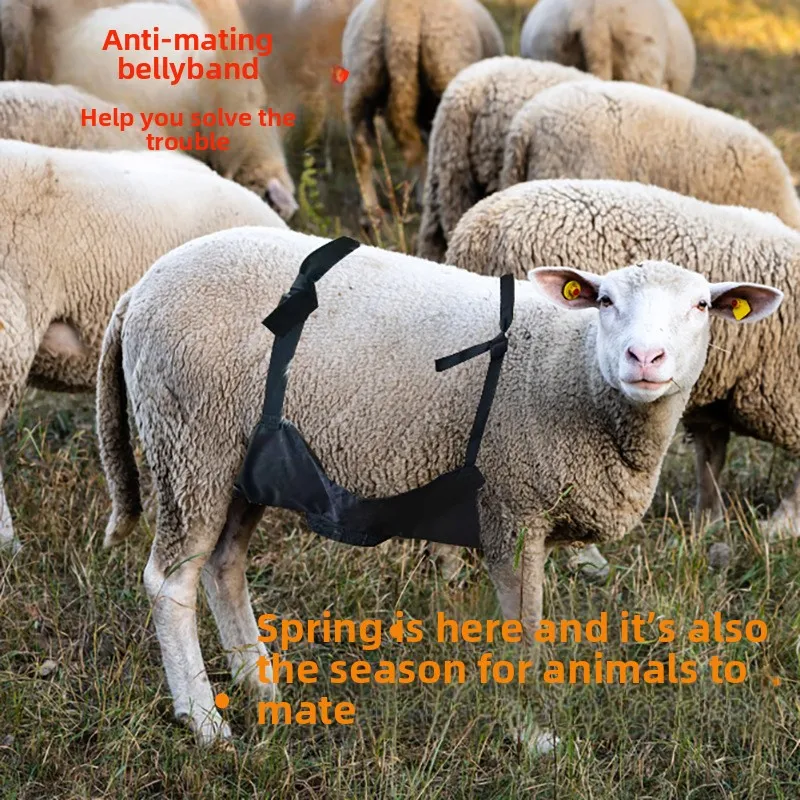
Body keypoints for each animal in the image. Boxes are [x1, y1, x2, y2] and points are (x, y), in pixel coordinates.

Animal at [94, 225, 781, 744]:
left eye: (701, 306)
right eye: (605, 301)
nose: (645, 359)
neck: (573, 370)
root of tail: (141, 288)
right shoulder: (511, 506)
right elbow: (525, 630)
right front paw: (533, 733)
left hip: (245, 459)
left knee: (223, 567)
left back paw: (260, 685)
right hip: (192, 442)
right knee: (170, 581)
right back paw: (204, 719)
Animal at [445, 178, 800, 536]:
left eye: (703, 305)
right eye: (605, 301)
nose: (645, 356)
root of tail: (477, 228)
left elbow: (710, 458)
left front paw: (707, 523)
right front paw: (783, 526)